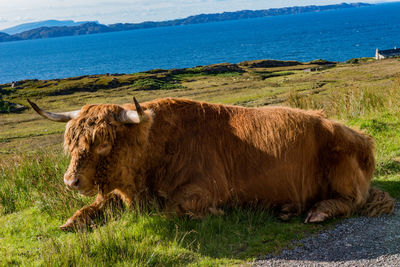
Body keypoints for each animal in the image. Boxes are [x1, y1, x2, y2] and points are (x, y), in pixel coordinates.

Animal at [27, 97, 394, 231]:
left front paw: (213, 214)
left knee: (353, 200)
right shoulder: (120, 194)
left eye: (103, 143)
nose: (70, 181)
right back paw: (288, 209)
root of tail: (362, 136)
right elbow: (90, 209)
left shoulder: (206, 189)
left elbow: (174, 209)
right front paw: (68, 223)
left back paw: (316, 212)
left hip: (342, 169)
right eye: (71, 142)